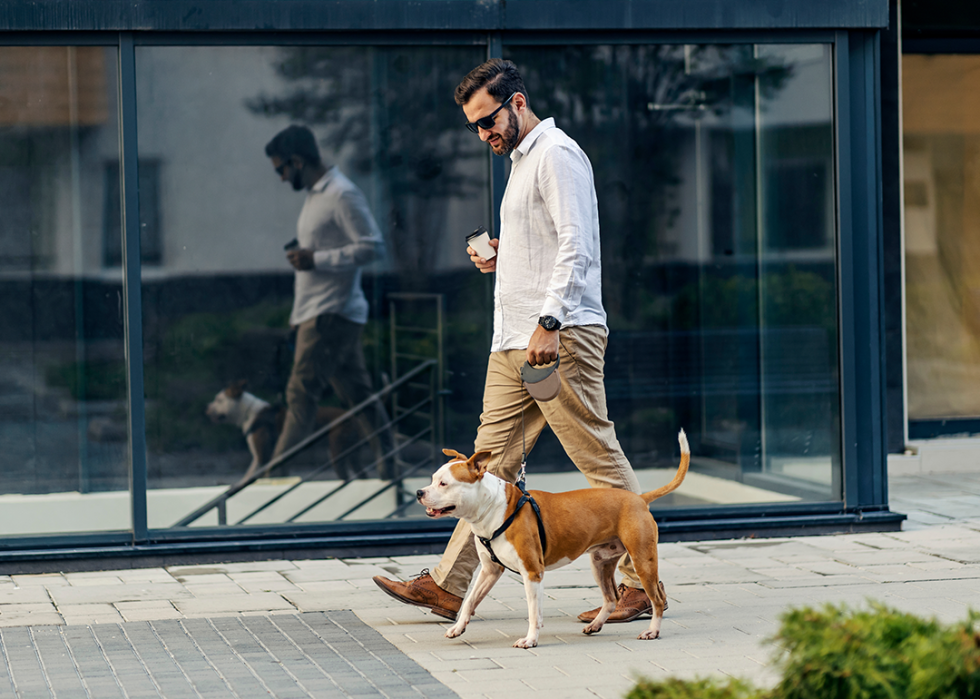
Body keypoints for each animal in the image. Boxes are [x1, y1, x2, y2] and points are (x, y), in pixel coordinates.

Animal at [206, 380, 364, 484]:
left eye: (219, 400)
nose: (207, 408)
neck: (249, 413)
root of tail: (354, 417)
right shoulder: (264, 458)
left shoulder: (262, 456)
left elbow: (251, 475)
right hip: (352, 455)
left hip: (337, 451)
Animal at [420, 432, 688, 652]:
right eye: (432, 479)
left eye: (444, 483)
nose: (419, 492)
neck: (494, 507)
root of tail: (640, 499)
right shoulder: (489, 570)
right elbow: (470, 600)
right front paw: (458, 628)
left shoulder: (532, 572)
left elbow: (533, 612)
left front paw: (530, 640)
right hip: (600, 562)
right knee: (611, 599)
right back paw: (595, 624)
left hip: (642, 560)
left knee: (657, 599)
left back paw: (652, 631)